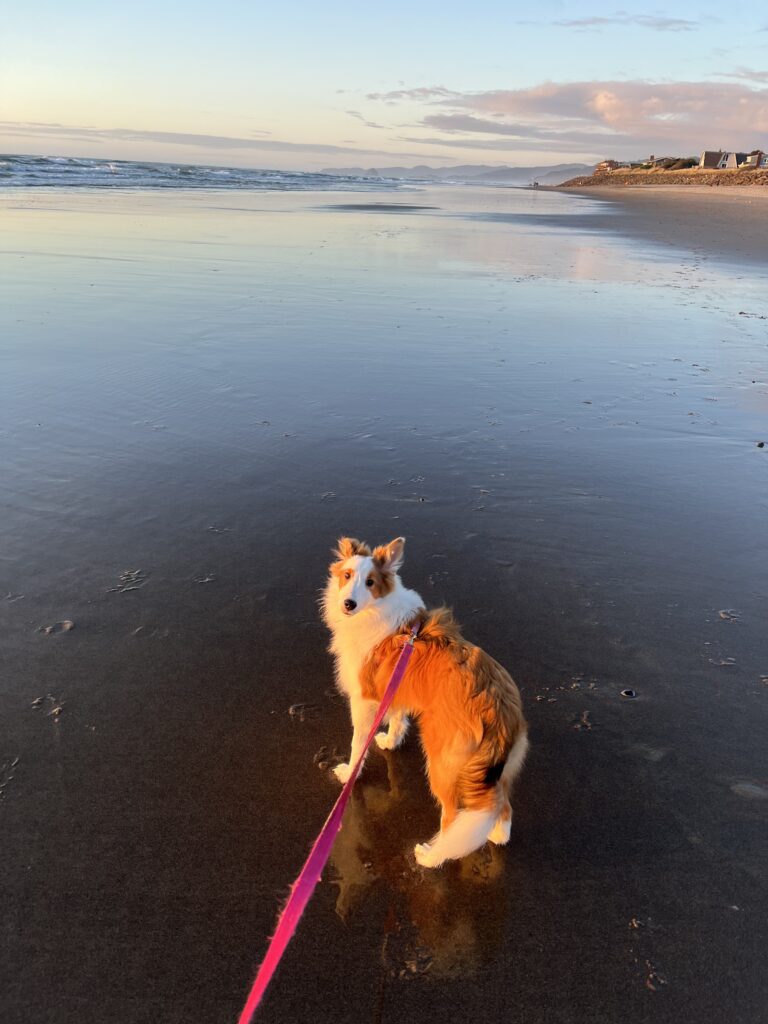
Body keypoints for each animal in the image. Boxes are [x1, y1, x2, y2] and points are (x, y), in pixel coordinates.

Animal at [319, 536, 528, 864]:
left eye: (370, 582)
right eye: (347, 575)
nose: (348, 604)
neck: (376, 608)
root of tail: (499, 709)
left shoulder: (363, 700)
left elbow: (357, 743)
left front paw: (349, 773)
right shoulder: (395, 686)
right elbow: (397, 719)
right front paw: (391, 742)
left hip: (443, 765)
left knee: (453, 817)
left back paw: (430, 856)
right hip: (496, 772)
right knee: (502, 807)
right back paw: (497, 835)